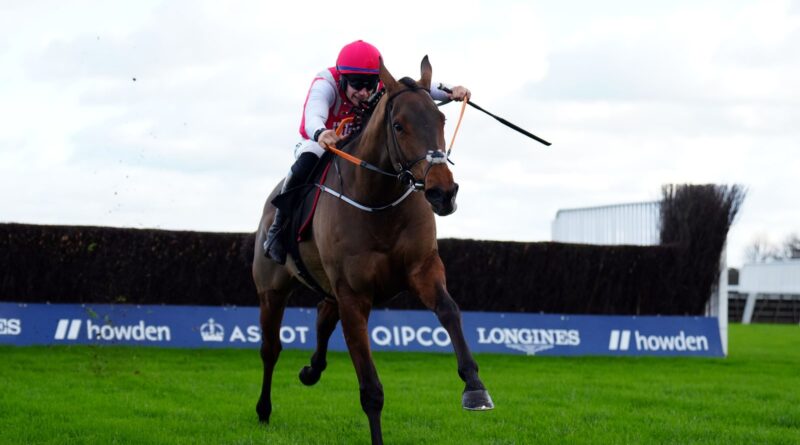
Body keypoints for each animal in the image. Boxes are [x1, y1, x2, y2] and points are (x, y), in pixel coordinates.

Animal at [252, 56, 494, 444]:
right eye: (398, 126)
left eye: (441, 120)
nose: (443, 193)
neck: (378, 202)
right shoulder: (354, 295)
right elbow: (371, 390)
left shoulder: (423, 268)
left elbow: (449, 310)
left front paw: (474, 386)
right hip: (272, 290)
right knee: (271, 348)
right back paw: (263, 410)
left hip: (328, 288)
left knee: (323, 315)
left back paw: (311, 370)